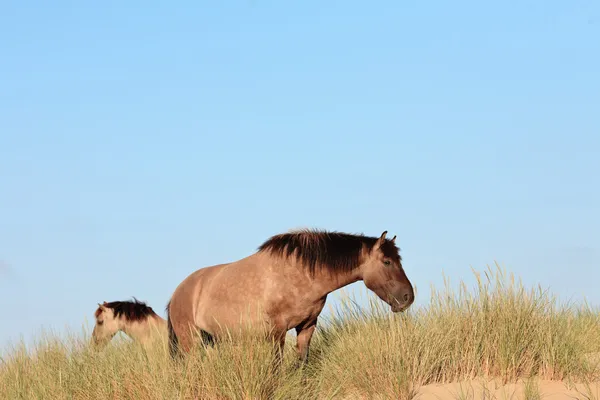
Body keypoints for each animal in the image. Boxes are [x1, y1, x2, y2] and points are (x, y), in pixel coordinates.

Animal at [166, 230, 414, 364]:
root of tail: (177, 294)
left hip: (210, 340)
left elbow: (302, 363)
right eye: (387, 261)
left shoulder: (307, 326)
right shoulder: (277, 331)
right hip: (190, 341)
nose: (407, 297)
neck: (300, 273)